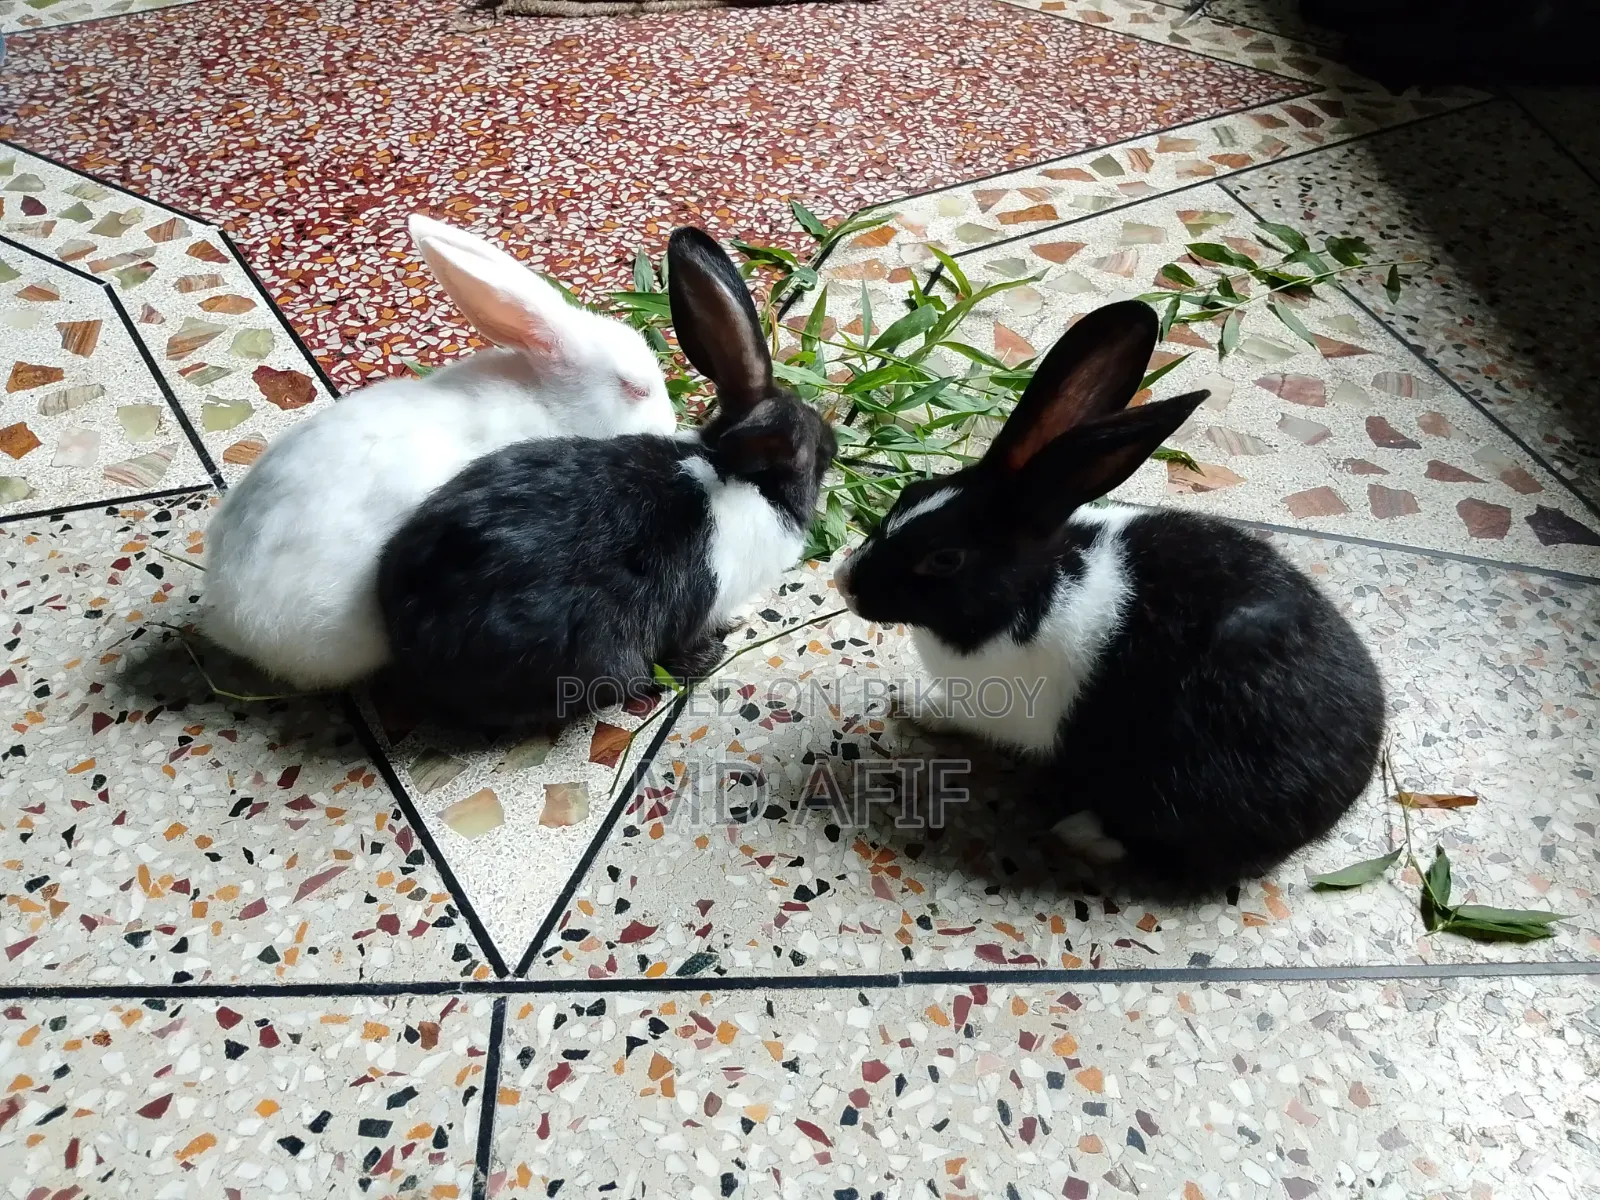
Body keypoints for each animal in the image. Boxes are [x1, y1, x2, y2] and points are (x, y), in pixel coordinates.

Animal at [833, 299, 1385, 896]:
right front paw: (910, 699)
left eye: (944, 559)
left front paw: (914, 705)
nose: (844, 580)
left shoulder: (1002, 705)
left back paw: (1081, 834)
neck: (1032, 589)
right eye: (911, 492)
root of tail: (1344, 792)